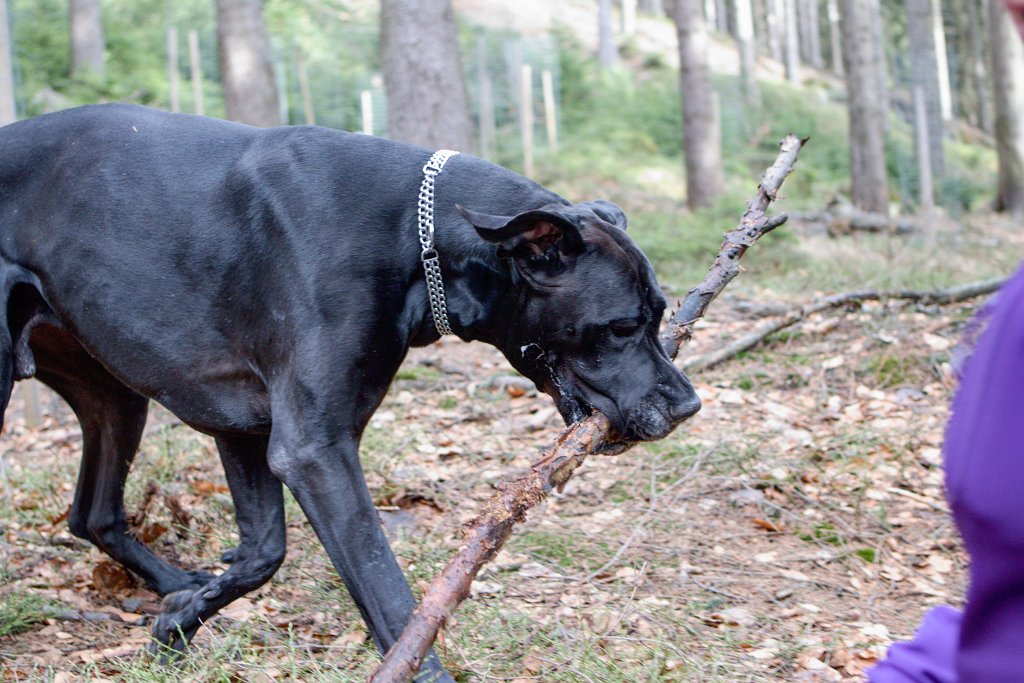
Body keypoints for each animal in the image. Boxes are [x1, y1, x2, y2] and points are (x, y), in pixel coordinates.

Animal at [0, 104, 700, 679]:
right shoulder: (314, 450)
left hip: (114, 395)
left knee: (92, 512)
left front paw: (180, 619)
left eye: (661, 313)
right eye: (621, 326)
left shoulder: (246, 429)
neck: (415, 233)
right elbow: (392, 601)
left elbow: (263, 554)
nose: (688, 406)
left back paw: (173, 583)